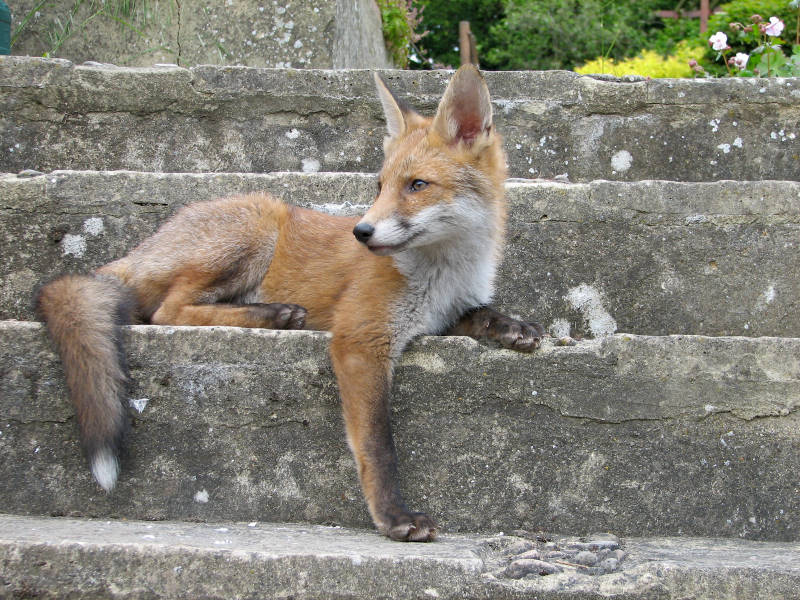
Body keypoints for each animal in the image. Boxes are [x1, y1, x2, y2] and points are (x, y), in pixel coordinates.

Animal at [32, 64, 544, 540]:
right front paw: (393, 516)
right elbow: (378, 445)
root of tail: (139, 249)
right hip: (256, 228)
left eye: (417, 185)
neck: (443, 274)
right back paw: (273, 313)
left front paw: (515, 328)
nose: (361, 232)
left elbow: (482, 315)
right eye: (379, 187)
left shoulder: (443, 315)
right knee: (167, 311)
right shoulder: (361, 339)